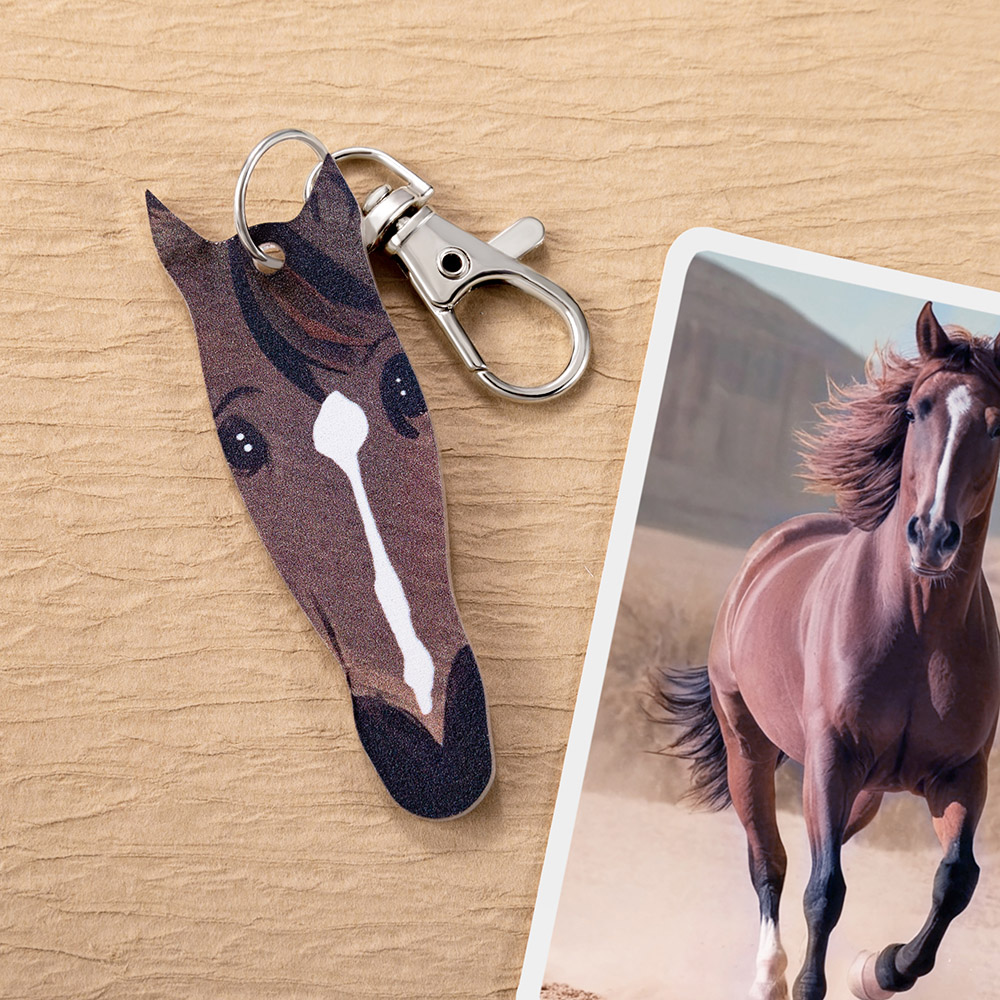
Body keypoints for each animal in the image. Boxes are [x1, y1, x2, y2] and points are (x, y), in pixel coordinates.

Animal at [658, 303, 1000, 999]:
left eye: (998, 424)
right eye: (917, 409)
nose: (933, 536)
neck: (918, 628)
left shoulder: (961, 773)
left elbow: (956, 881)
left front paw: (881, 969)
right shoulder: (831, 757)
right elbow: (823, 890)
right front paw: (810, 984)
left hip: (864, 789)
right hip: (752, 749)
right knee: (771, 860)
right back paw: (768, 976)